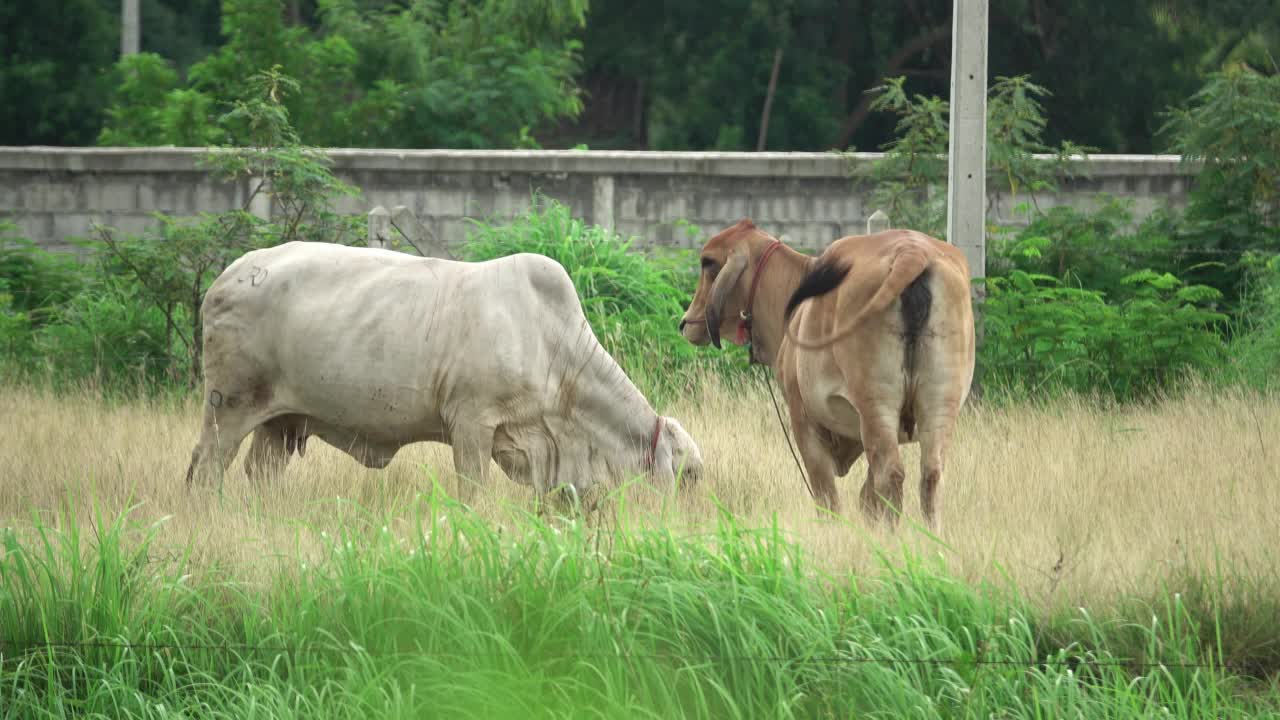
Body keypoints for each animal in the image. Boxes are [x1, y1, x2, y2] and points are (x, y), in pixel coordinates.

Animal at [181, 240, 706, 499]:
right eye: (689, 476)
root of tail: (225, 279)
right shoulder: (472, 423)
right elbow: (471, 492)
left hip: (281, 422)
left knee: (261, 474)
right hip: (229, 405)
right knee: (206, 468)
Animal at [680, 221, 967, 530]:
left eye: (708, 262)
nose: (685, 323)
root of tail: (912, 252)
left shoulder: (802, 417)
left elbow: (825, 495)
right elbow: (866, 497)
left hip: (875, 405)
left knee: (889, 475)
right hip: (939, 404)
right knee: (930, 475)